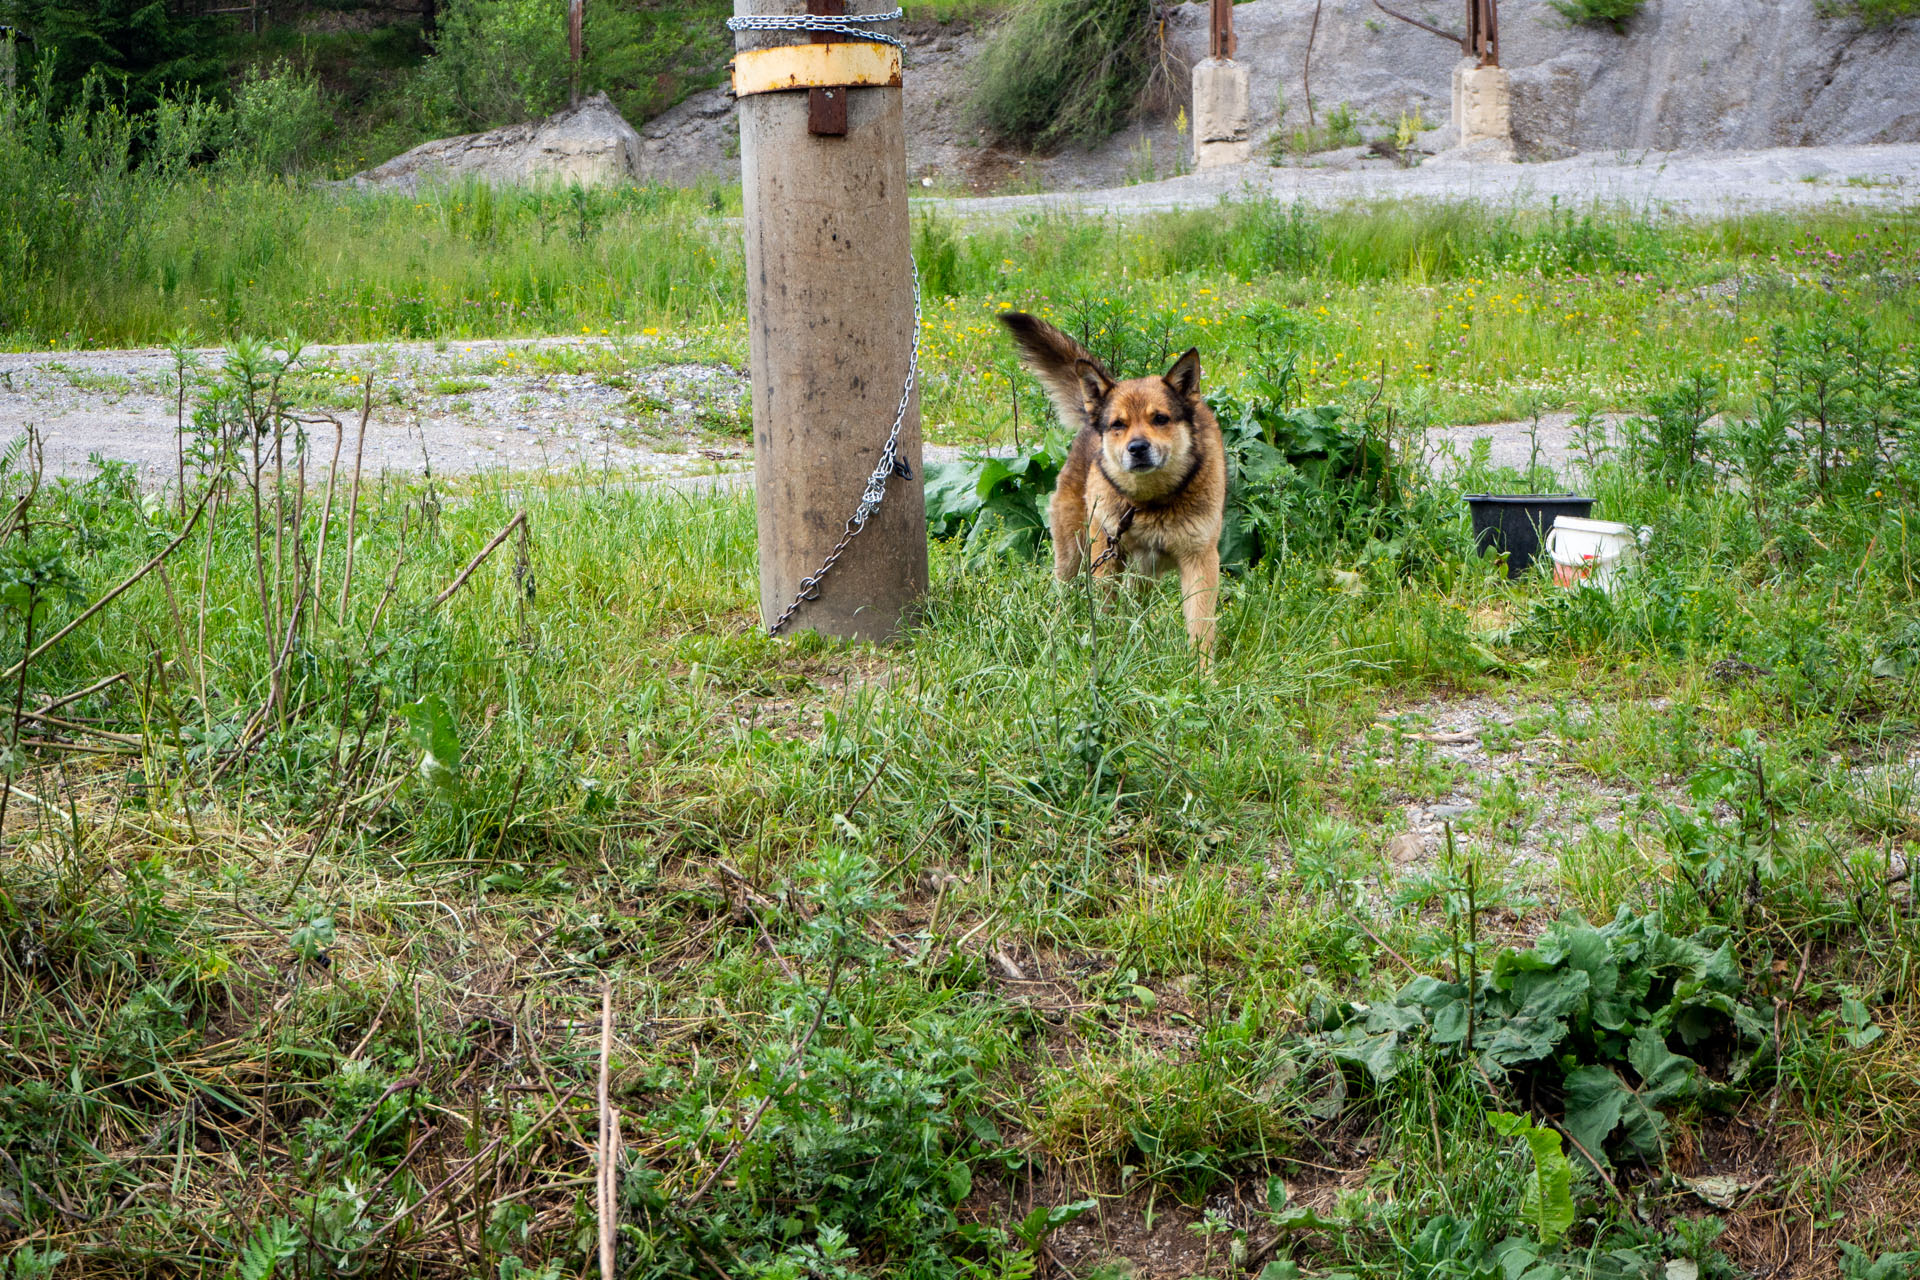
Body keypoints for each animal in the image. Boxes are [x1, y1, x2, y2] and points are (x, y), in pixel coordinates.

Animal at [998, 308, 1221, 652]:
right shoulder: (1108, 553)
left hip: (1141, 571)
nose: (1137, 448)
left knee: (1136, 604)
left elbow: (1201, 629)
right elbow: (1105, 611)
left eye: (1160, 418)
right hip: (1074, 551)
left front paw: (1202, 668)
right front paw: (1106, 648)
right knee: (1066, 593)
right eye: (1118, 424)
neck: (1149, 502)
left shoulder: (1200, 560)